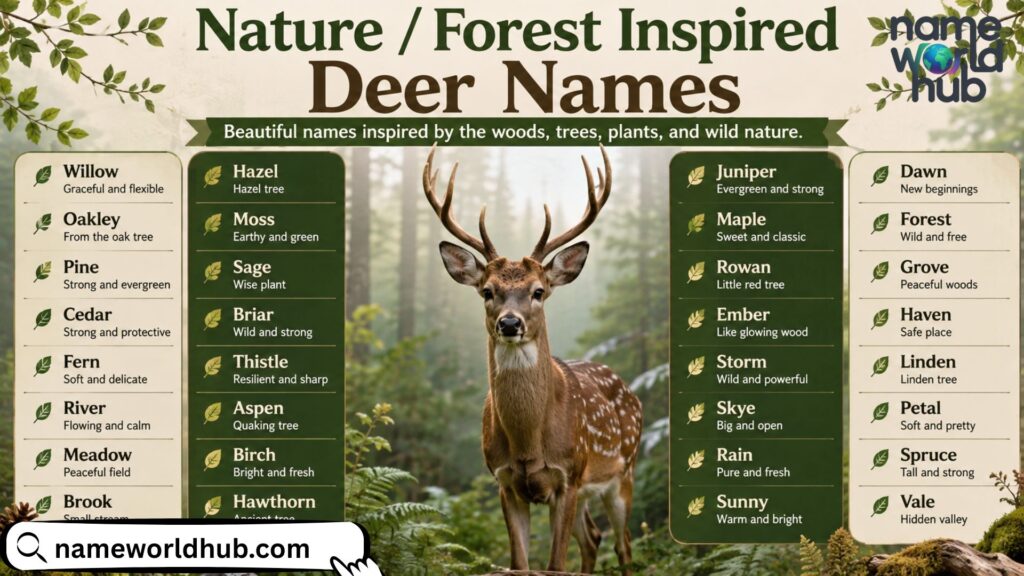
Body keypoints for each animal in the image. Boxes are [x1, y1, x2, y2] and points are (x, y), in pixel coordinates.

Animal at [423, 146, 643, 575]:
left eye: (538, 291)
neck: (528, 443)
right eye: (487, 291)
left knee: (624, 546)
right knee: (593, 538)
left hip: (622, 471)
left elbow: (555, 564)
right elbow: (520, 563)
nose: (510, 323)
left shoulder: (568, 476)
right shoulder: (505, 481)